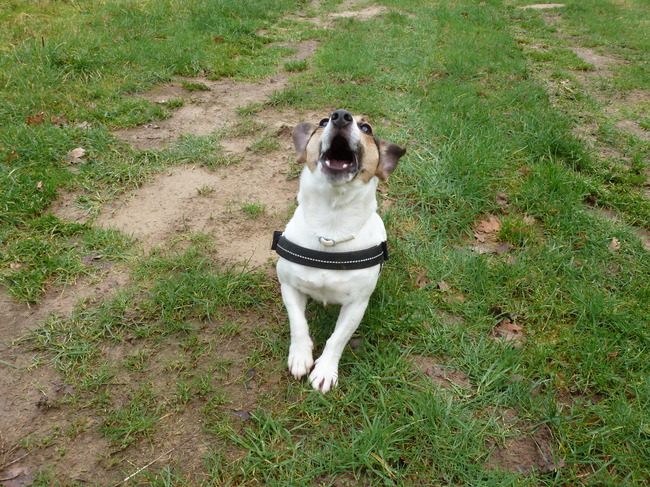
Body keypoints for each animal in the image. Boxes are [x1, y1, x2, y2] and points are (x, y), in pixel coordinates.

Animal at [273, 109, 406, 393]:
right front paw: (300, 356)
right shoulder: (289, 286)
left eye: (366, 128)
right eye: (323, 122)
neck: (331, 227)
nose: (341, 116)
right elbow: (297, 323)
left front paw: (324, 370)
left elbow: (338, 338)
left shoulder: (357, 304)